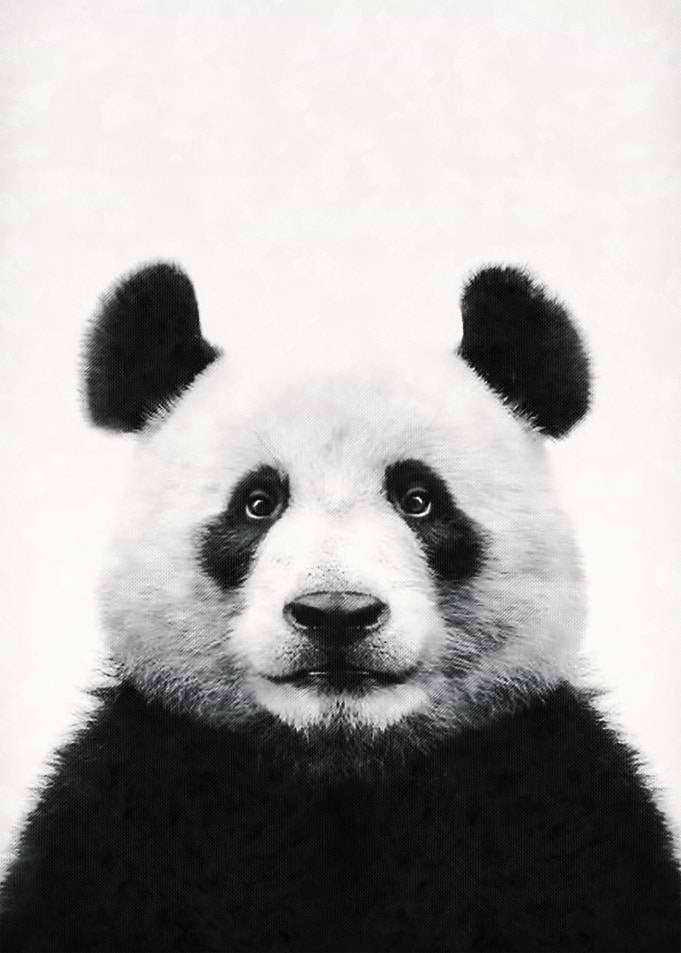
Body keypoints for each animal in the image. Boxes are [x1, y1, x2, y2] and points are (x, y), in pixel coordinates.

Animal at [0, 262, 679, 953]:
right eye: (258, 503)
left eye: (419, 500)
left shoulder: (561, 805)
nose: (336, 612)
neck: (341, 768)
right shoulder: (127, 806)